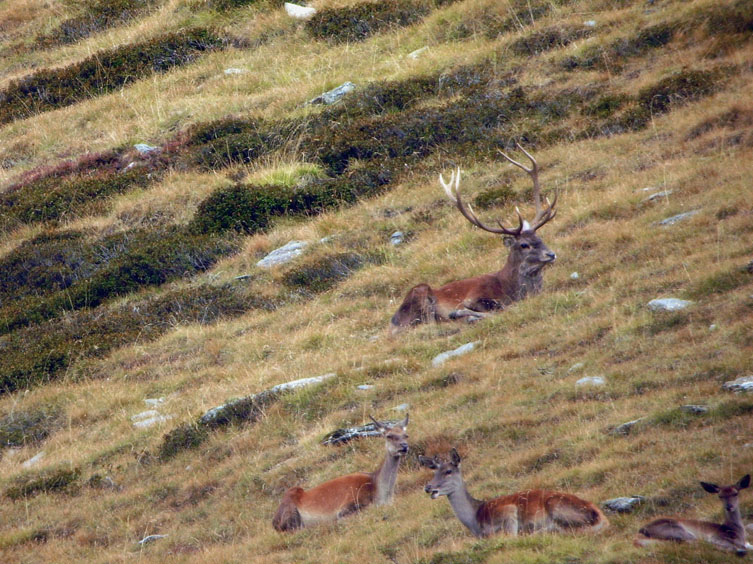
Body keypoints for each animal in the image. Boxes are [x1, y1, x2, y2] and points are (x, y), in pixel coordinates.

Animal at [272, 414, 408, 528]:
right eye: (389, 436)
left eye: (406, 435)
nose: (404, 446)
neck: (380, 492)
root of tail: (274, 521)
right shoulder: (346, 507)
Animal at [388, 144, 560, 334]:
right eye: (524, 244)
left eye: (539, 237)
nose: (551, 254)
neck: (512, 289)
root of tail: (393, 322)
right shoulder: (474, 296)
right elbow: (496, 308)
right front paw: (463, 314)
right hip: (420, 292)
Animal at [420, 450, 608, 536]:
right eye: (433, 472)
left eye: (448, 471)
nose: (428, 487)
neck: (475, 521)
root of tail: (599, 514)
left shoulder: (508, 512)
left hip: (557, 506)